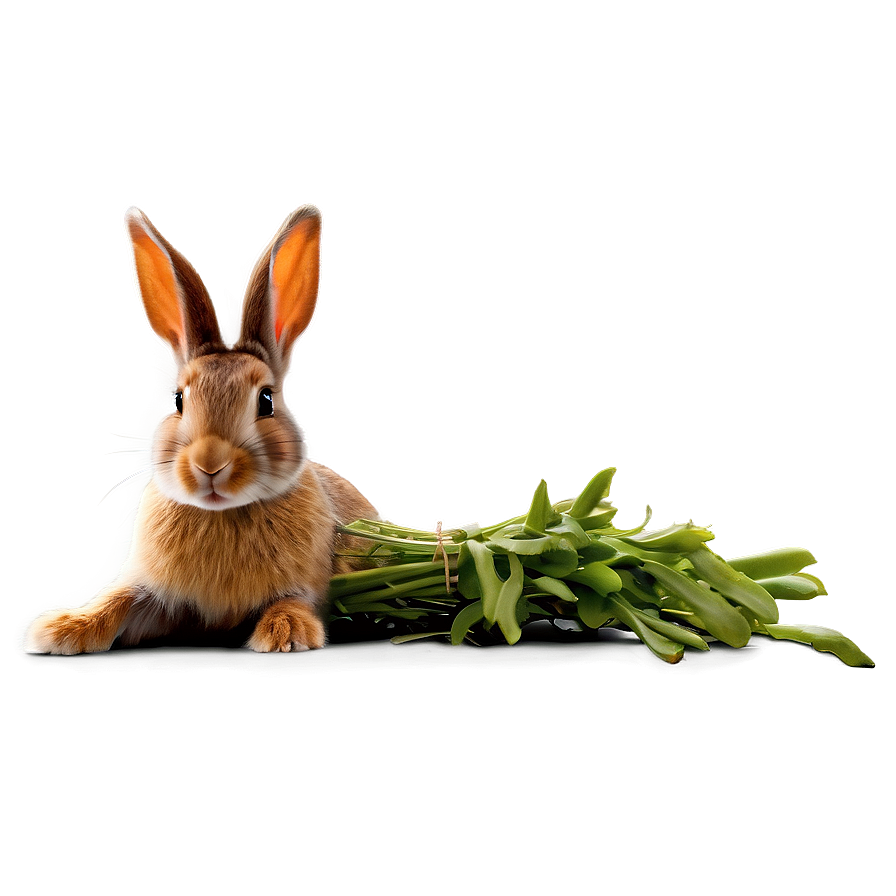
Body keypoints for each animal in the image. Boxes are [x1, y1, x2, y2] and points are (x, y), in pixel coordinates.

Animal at [22, 204, 377, 654]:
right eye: (178, 400)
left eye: (266, 400)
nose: (210, 464)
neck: (222, 513)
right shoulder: (158, 597)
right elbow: (119, 598)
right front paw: (59, 629)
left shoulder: (308, 585)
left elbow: (294, 600)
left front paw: (286, 634)